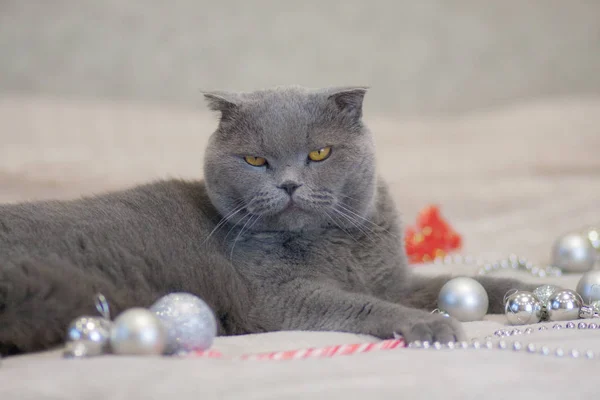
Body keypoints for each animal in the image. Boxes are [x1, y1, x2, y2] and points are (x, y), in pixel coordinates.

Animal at [2, 86, 532, 354]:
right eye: (255, 161)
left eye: (319, 153)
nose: (290, 184)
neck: (336, 247)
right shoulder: (276, 298)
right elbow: (361, 305)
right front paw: (427, 325)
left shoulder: (392, 280)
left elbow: (460, 281)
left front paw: (524, 292)